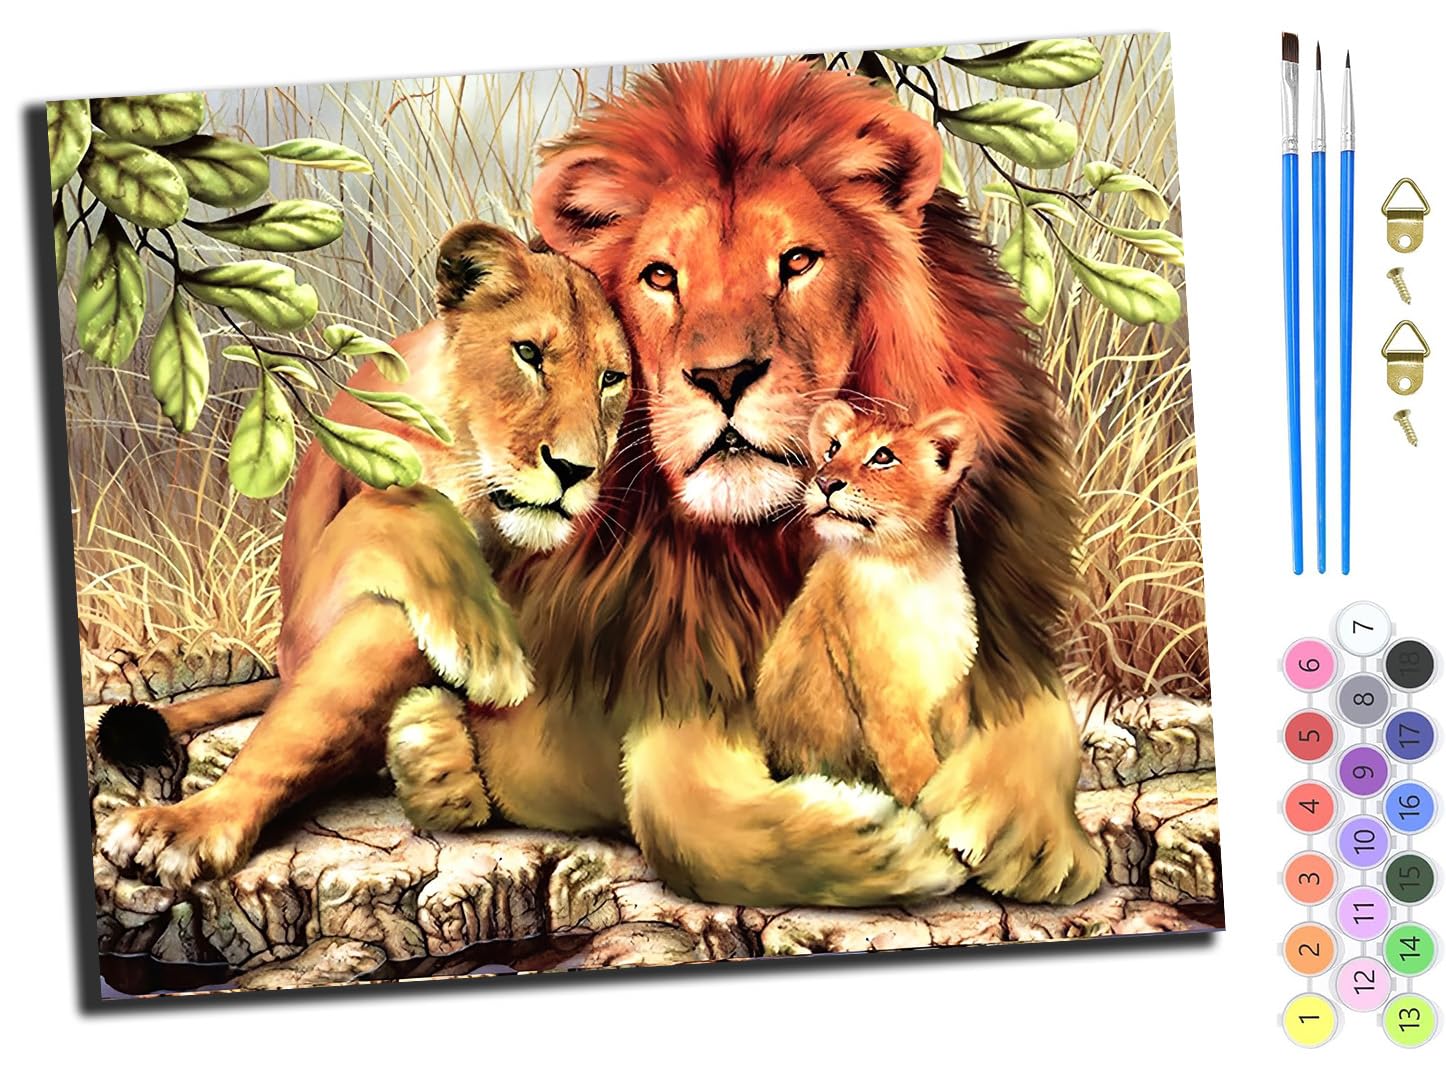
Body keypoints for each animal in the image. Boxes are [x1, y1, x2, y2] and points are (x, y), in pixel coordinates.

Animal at [97, 220, 631, 889]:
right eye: (529, 353)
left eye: (612, 379)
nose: (573, 470)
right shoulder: (313, 597)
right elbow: (403, 498)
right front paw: (487, 653)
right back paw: (183, 826)